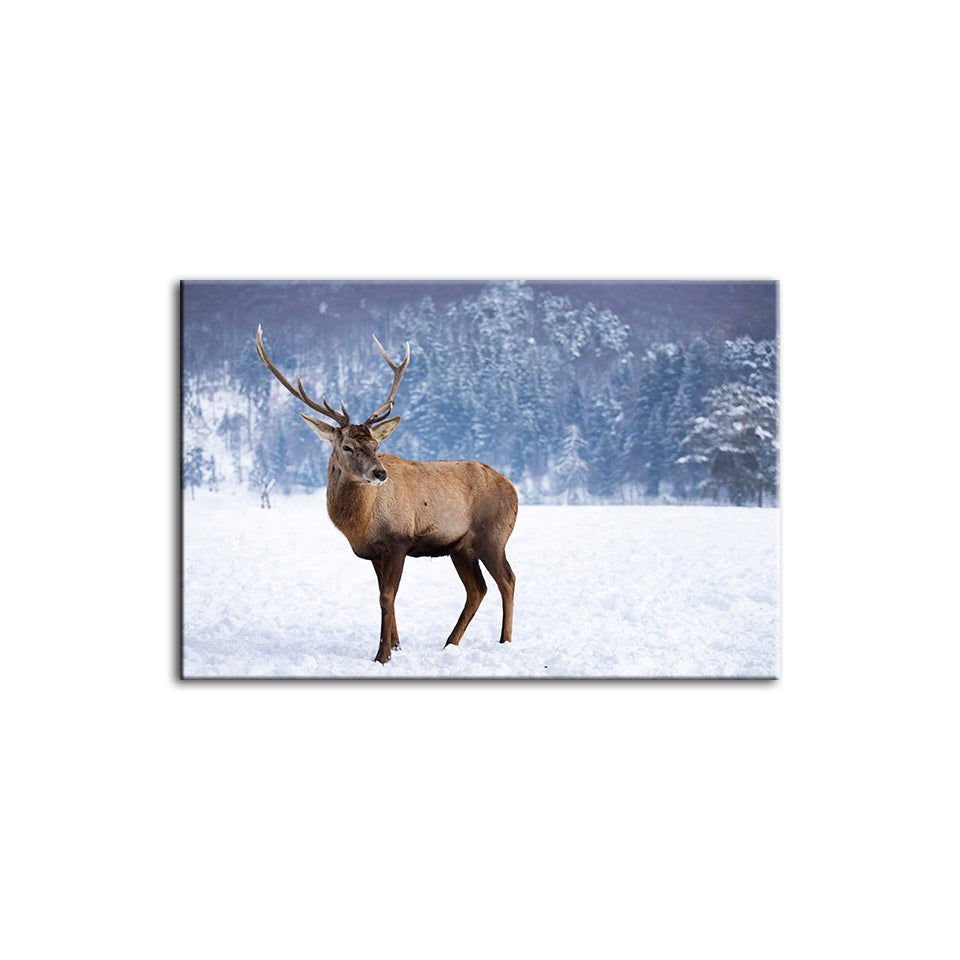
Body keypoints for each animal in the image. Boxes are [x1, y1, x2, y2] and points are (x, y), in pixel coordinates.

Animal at [255, 326, 518, 664]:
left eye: (376, 445)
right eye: (347, 446)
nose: (380, 473)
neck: (360, 524)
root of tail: (514, 488)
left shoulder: (398, 542)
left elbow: (386, 597)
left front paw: (381, 655)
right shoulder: (373, 552)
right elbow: (385, 597)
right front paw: (396, 646)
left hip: (493, 536)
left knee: (507, 581)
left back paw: (505, 640)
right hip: (461, 547)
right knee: (477, 589)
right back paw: (450, 643)